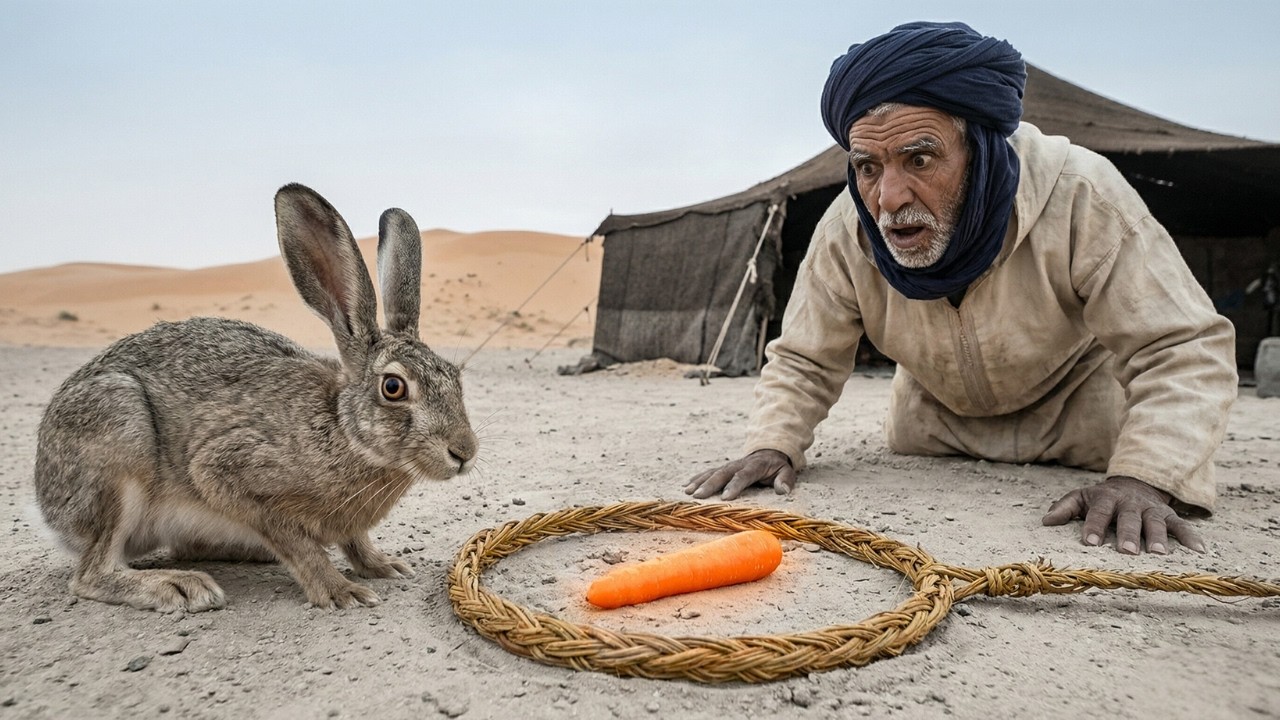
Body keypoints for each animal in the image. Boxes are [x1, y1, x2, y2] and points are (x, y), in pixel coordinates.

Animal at [33, 183, 478, 612]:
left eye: (455, 378)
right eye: (393, 387)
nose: (464, 452)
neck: (342, 430)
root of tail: (48, 509)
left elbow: (355, 540)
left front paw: (383, 565)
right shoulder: (225, 471)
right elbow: (296, 541)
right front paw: (341, 591)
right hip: (119, 435)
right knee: (92, 572)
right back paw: (180, 586)